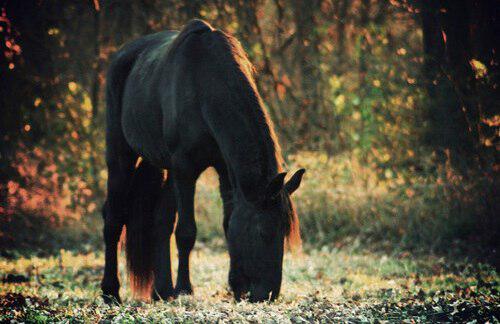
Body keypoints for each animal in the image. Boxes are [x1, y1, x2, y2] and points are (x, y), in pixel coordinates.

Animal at [101, 20, 304, 304]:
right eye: (264, 232)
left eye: (285, 231)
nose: (269, 294)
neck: (205, 88)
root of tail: (122, 55)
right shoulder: (185, 169)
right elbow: (186, 231)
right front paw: (185, 288)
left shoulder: (223, 170)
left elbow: (228, 223)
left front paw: (236, 286)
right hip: (121, 153)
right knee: (113, 217)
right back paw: (111, 291)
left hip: (164, 166)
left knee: (160, 220)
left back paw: (161, 290)